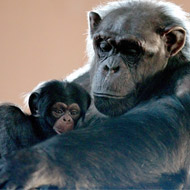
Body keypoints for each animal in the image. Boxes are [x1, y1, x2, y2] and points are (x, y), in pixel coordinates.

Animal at [0, 0, 190, 189]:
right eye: (105, 46)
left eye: (131, 51)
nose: (111, 67)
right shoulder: (80, 80)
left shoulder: (185, 82)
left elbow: (166, 121)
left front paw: (36, 162)